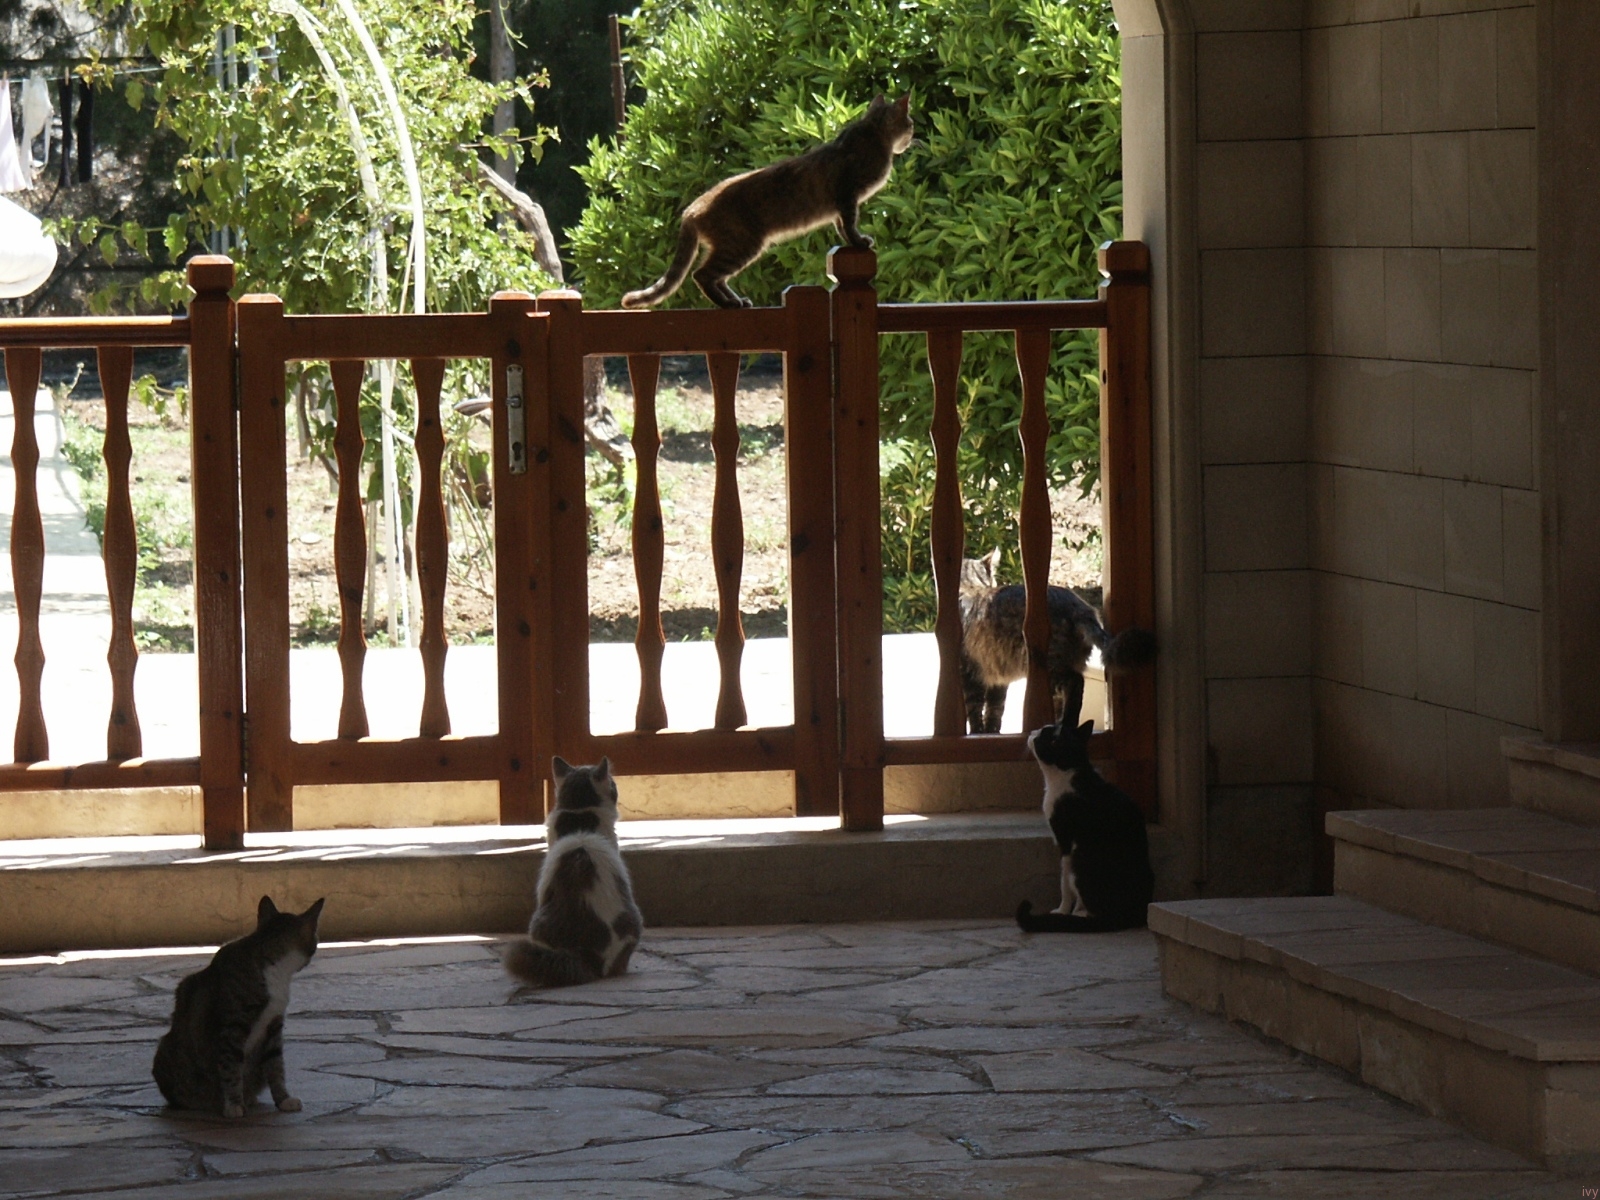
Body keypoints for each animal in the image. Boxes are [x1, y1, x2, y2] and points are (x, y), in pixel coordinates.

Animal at [152, 895, 325, 1117]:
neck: (274, 970)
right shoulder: (232, 1027)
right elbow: (230, 1066)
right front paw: (234, 1104)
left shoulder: (274, 1026)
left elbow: (276, 1065)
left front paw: (283, 1099)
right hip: (168, 1052)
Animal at [621, 93, 915, 310]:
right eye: (910, 123)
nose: (913, 135)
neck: (872, 136)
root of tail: (691, 209)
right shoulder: (847, 196)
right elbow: (851, 225)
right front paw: (859, 241)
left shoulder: (840, 207)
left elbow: (842, 227)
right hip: (742, 245)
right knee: (701, 275)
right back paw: (728, 304)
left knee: (715, 277)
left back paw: (736, 300)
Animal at [959, 548, 1155, 735]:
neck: (969, 587)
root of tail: (1081, 608)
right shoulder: (998, 679)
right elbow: (995, 709)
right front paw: (991, 732)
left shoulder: (970, 673)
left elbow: (974, 707)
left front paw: (977, 733)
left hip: (1048, 666)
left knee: (1076, 683)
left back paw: (1066, 723)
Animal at [1016, 719, 1153, 933]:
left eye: (1043, 735)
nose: (1032, 731)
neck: (1069, 771)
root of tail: (1124, 916)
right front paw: (1073, 910)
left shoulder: (1065, 842)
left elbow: (1064, 882)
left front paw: (1064, 910)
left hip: (1080, 861)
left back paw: (1079, 917)